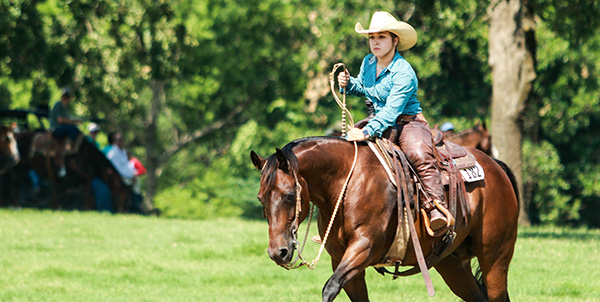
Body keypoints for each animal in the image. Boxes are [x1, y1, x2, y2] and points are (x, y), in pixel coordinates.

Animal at [251, 137, 516, 302]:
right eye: (261, 198)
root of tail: (495, 167)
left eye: (288, 196)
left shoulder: (364, 248)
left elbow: (329, 288)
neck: (347, 183)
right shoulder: (341, 260)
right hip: (452, 265)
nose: (277, 252)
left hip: (495, 258)